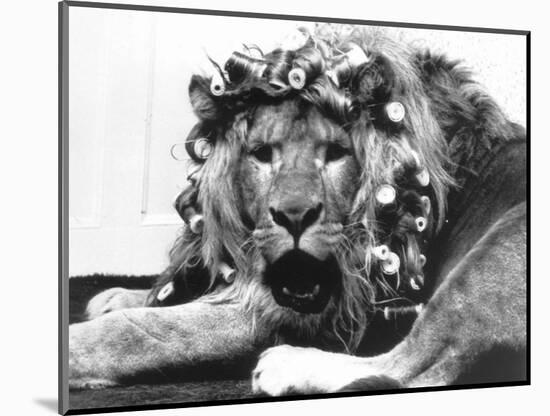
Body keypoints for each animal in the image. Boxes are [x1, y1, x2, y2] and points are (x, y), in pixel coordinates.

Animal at [67, 24, 528, 394]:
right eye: (261, 154)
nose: (294, 217)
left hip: (497, 249)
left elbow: (151, 331)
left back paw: (287, 366)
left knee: (413, 368)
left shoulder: (294, 311)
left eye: (338, 153)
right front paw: (125, 295)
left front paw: (75, 345)